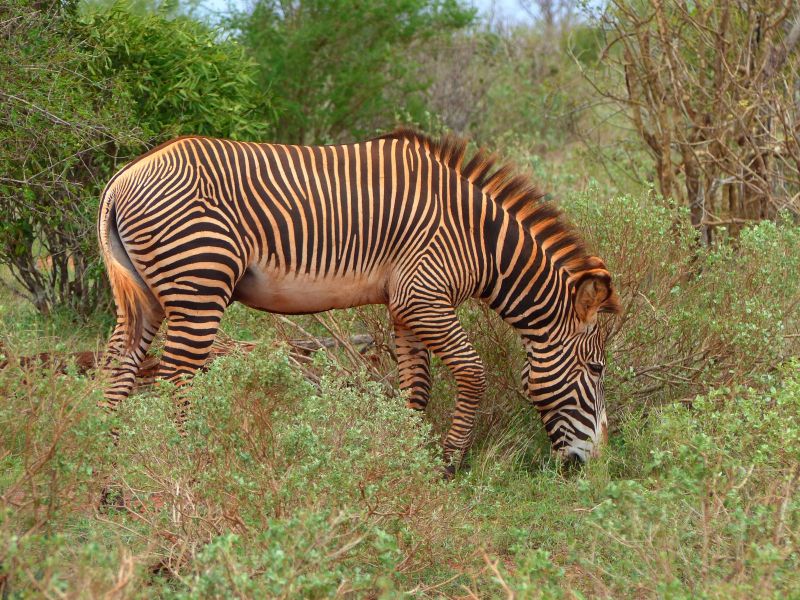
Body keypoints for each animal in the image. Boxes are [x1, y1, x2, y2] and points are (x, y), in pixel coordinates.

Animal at [98, 129, 620, 469]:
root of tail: (123, 178)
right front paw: (448, 463)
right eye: (597, 369)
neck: (480, 239)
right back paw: (186, 461)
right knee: (176, 378)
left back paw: (106, 467)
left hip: (145, 296)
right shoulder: (424, 297)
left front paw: (405, 459)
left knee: (118, 365)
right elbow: (473, 373)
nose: (596, 464)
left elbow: (416, 388)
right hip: (200, 283)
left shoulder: (406, 307)